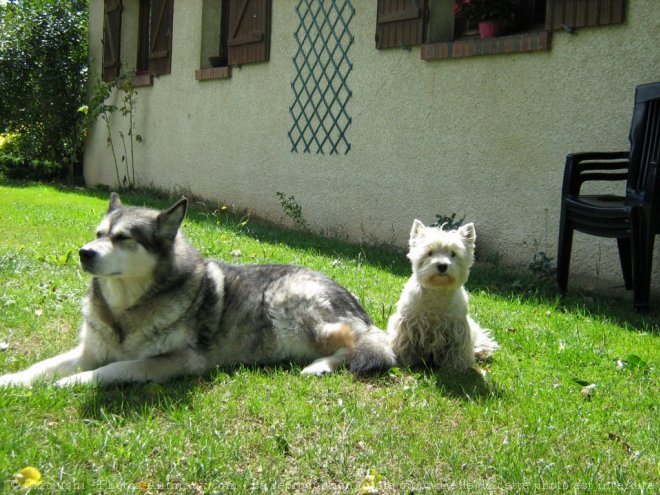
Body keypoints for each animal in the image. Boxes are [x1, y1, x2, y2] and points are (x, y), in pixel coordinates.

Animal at [0, 194, 392, 388]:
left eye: (123, 238)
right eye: (98, 234)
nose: (84, 253)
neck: (126, 309)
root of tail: (354, 302)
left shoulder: (177, 361)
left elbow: (113, 369)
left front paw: (70, 383)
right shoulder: (89, 350)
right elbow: (41, 366)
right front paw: (12, 380)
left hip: (286, 307)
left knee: (367, 344)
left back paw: (321, 366)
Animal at [386, 219, 500, 370]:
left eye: (453, 253)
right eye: (430, 253)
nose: (442, 265)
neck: (437, 292)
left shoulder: (457, 326)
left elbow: (457, 348)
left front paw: (456, 366)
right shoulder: (408, 323)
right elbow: (405, 342)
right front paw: (405, 359)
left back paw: (482, 352)